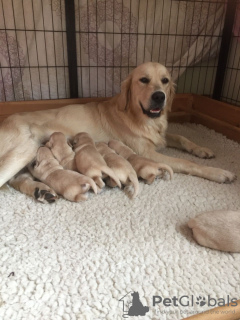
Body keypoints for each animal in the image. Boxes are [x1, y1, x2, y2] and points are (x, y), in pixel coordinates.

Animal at [0, 60, 236, 195]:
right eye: (143, 80)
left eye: (165, 80)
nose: (160, 96)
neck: (138, 116)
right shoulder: (147, 153)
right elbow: (187, 163)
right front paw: (219, 172)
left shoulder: (161, 136)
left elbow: (182, 137)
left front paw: (202, 150)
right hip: (25, 149)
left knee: (17, 180)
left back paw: (41, 190)